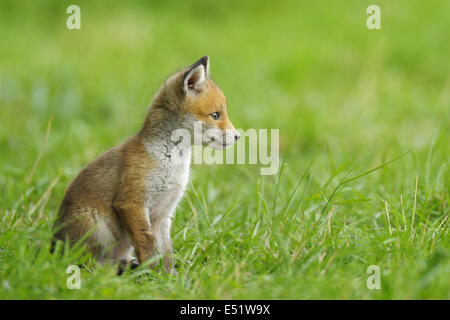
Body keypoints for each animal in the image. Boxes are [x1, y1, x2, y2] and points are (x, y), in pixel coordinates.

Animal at [53, 57, 239, 272]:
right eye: (215, 115)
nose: (238, 136)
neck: (170, 160)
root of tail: (51, 246)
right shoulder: (131, 203)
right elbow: (146, 244)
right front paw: (153, 273)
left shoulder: (163, 213)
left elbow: (166, 251)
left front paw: (170, 275)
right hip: (97, 226)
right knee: (91, 265)